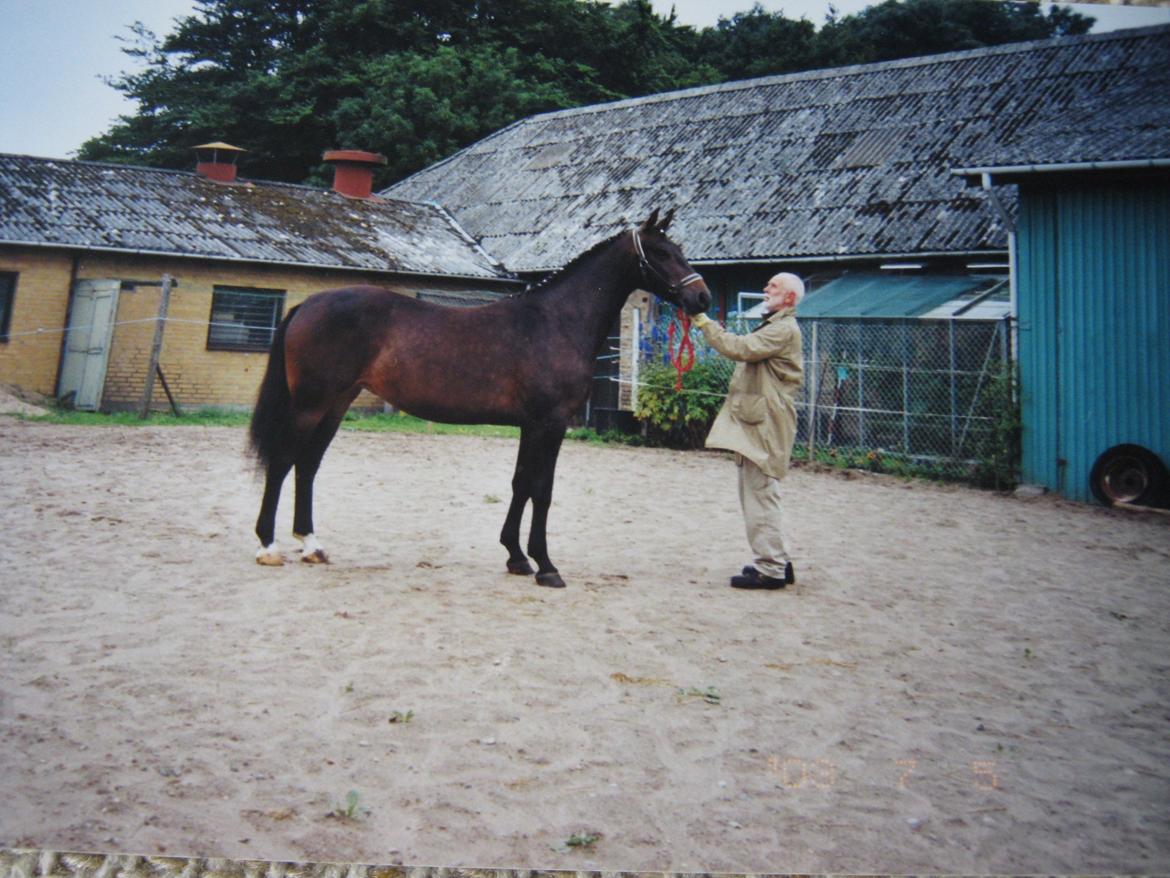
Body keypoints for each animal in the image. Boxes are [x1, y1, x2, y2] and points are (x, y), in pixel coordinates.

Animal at [244, 208, 711, 587]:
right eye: (662, 253)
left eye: (679, 249)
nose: (702, 296)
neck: (555, 322)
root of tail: (307, 306)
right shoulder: (551, 423)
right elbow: (542, 489)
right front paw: (546, 566)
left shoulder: (531, 425)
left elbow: (521, 483)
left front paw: (516, 557)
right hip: (311, 404)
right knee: (283, 462)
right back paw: (268, 546)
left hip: (337, 404)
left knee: (307, 466)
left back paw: (311, 545)